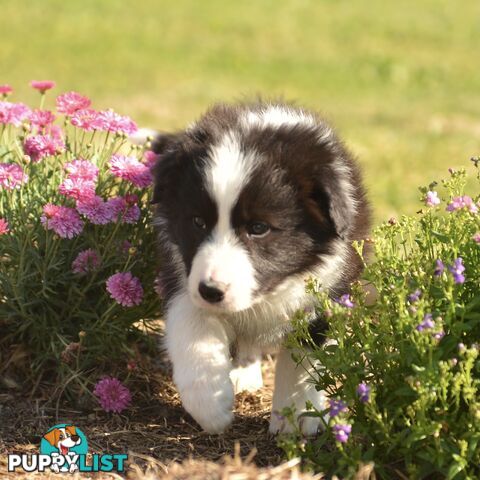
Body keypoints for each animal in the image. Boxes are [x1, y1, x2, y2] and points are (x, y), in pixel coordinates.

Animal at [150, 101, 372, 436]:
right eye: (197, 222)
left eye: (258, 228)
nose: (211, 291)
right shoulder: (182, 273)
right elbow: (192, 328)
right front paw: (210, 406)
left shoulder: (332, 285)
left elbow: (303, 358)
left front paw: (296, 416)